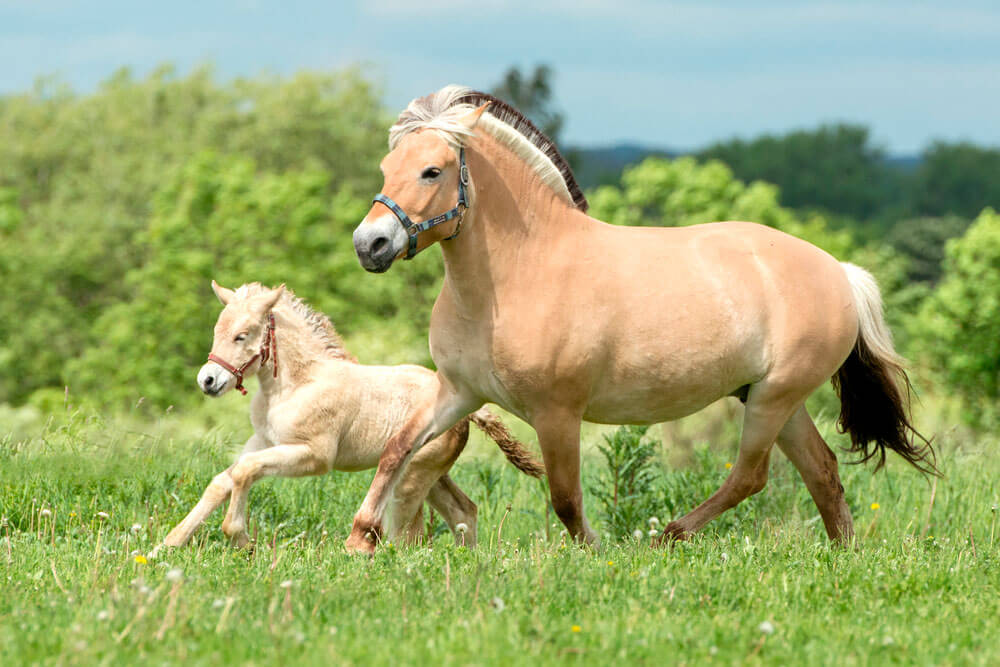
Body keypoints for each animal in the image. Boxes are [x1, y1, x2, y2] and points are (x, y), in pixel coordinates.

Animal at [157, 282, 544, 552]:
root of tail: (470, 409)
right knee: (463, 511)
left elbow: (244, 471)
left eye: (242, 335)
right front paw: (168, 544)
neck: (297, 384)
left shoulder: (314, 456)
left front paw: (239, 537)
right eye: (216, 332)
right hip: (432, 473)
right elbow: (224, 480)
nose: (208, 381)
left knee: (411, 534)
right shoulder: (263, 441)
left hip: (411, 479)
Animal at [346, 85, 936, 552]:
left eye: (432, 171)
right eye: (386, 170)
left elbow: (565, 498)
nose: (369, 245)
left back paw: (668, 536)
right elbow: (397, 449)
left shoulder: (557, 413)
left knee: (751, 475)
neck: (517, 276)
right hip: (772, 399)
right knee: (822, 471)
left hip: (775, 398)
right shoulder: (458, 393)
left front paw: (595, 551)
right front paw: (361, 539)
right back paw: (844, 554)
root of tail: (839, 271)